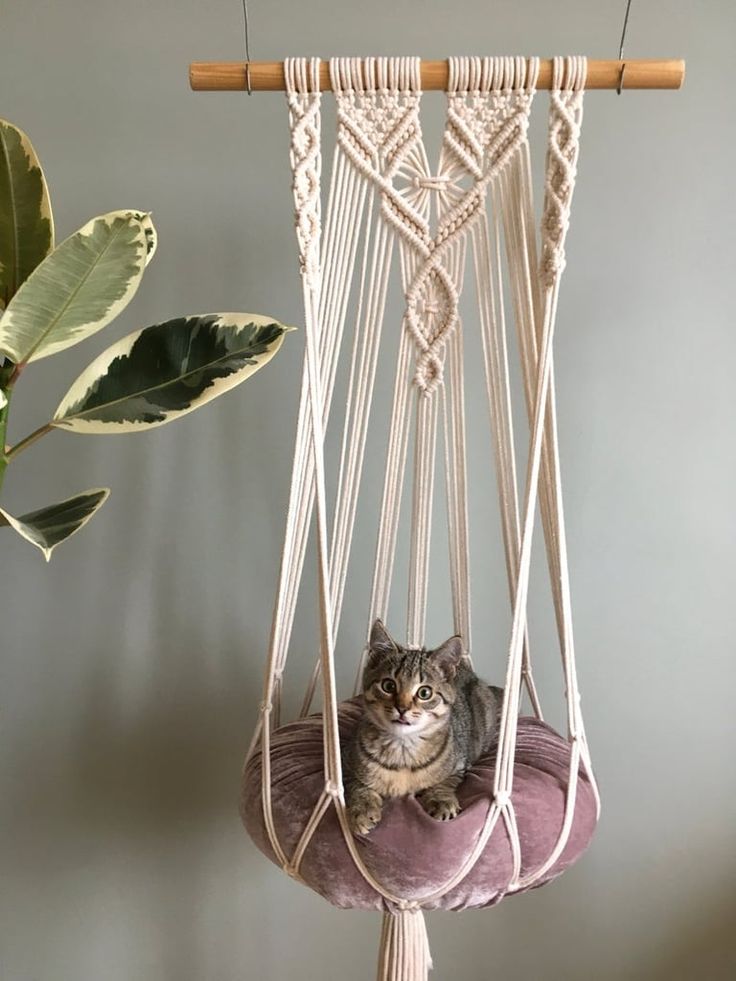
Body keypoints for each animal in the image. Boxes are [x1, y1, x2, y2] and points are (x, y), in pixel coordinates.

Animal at [344, 620, 504, 836]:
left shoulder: (459, 766)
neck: (402, 751)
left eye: (424, 693)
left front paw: (441, 799)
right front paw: (362, 809)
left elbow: (443, 783)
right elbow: (357, 786)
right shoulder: (348, 763)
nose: (402, 708)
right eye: (388, 685)